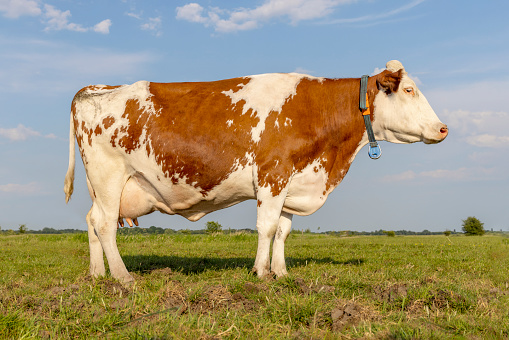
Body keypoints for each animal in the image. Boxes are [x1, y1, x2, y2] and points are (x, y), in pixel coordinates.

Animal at [64, 59, 448, 282]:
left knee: (91, 221)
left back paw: (96, 274)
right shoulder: (272, 175)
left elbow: (283, 230)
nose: (443, 129)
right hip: (108, 176)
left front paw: (281, 271)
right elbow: (266, 227)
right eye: (409, 89)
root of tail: (95, 89)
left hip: (102, 186)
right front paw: (261, 273)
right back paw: (122, 277)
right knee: (104, 224)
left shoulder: (293, 181)